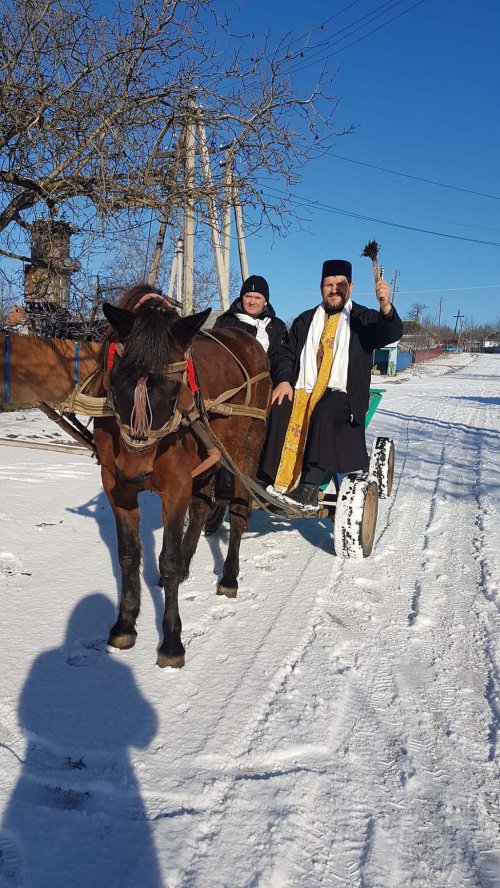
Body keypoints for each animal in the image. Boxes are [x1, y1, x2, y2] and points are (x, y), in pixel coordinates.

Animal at [94, 284, 274, 664]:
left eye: (174, 388)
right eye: (115, 382)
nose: (135, 471)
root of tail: (247, 339)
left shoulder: (174, 486)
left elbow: (169, 560)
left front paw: (172, 640)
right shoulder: (117, 486)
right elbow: (129, 556)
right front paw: (125, 624)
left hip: (245, 451)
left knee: (238, 512)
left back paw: (229, 576)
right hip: (209, 452)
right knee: (204, 503)